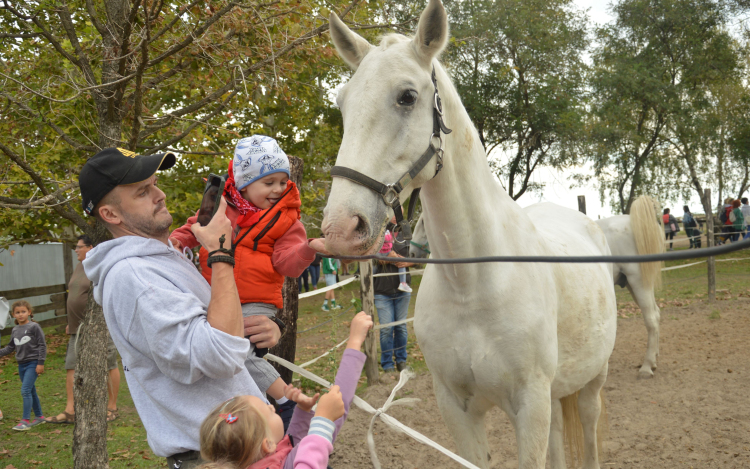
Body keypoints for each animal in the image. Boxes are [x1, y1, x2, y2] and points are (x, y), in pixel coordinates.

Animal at [326, 1, 620, 466]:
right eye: (342, 103)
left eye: (407, 96)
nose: (340, 227)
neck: (474, 284)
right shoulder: (457, 408)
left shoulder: (530, 407)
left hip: (591, 381)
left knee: (589, 432)